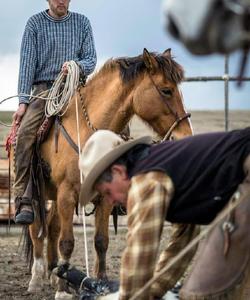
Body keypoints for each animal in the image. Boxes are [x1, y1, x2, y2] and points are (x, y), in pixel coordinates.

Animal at [23, 48, 194, 298]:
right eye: (166, 90)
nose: (185, 135)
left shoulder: (103, 198)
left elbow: (101, 241)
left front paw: (99, 283)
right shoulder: (67, 194)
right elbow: (67, 242)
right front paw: (63, 291)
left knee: (52, 228)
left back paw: (54, 274)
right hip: (38, 193)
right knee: (36, 229)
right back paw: (36, 279)